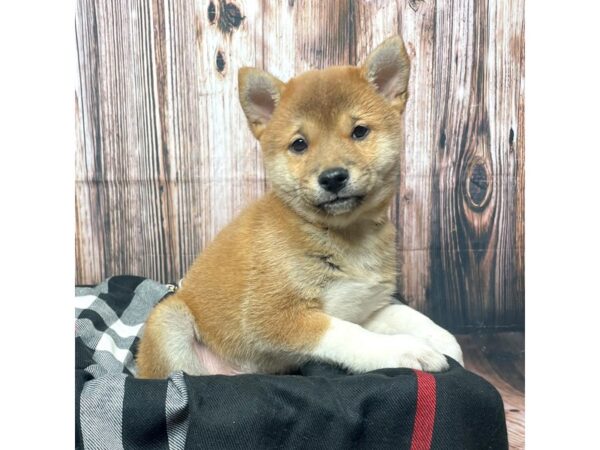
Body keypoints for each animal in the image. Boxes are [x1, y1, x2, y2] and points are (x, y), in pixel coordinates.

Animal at [137, 36, 464, 380]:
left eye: (359, 131)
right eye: (299, 144)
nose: (333, 178)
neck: (346, 236)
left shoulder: (362, 304)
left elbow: (407, 315)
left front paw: (445, 342)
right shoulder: (272, 315)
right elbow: (349, 334)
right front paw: (403, 350)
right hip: (169, 319)